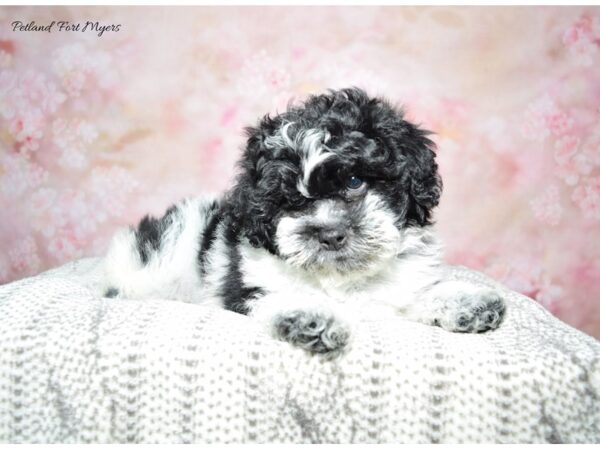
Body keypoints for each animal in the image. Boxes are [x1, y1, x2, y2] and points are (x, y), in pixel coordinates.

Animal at [103, 87, 506, 356]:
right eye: (289, 200)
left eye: (355, 181)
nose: (329, 234)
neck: (343, 279)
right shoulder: (252, 284)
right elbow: (282, 295)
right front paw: (311, 318)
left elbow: (418, 295)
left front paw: (466, 302)